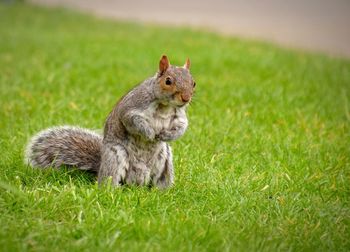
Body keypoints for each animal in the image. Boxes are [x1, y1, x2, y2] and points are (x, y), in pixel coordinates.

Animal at [24, 55, 196, 189]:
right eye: (168, 81)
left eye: (193, 83)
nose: (186, 98)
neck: (165, 106)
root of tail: (137, 183)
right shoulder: (131, 107)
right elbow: (132, 120)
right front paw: (149, 133)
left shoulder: (179, 116)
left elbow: (182, 126)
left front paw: (167, 135)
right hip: (116, 156)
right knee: (109, 180)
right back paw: (112, 191)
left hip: (165, 160)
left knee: (160, 180)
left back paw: (162, 192)